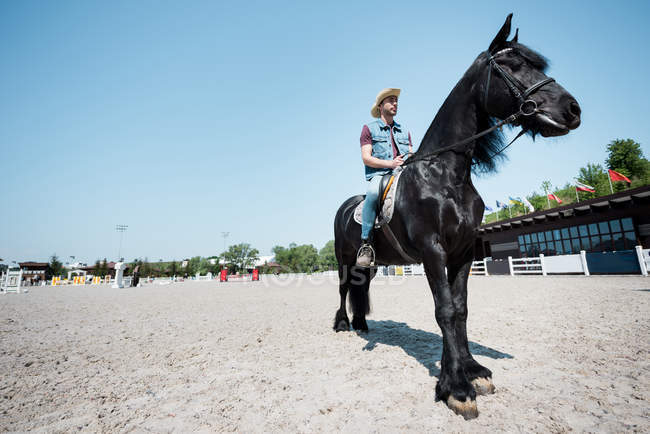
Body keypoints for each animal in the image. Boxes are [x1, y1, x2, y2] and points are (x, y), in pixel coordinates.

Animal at [332, 15, 580, 418]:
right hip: (343, 260)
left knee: (362, 288)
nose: (572, 109)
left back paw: (363, 323)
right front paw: (456, 388)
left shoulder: (463, 251)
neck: (445, 175)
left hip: (367, 263)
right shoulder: (433, 250)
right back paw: (342, 325)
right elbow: (444, 311)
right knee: (342, 289)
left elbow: (460, 309)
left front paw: (473, 371)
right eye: (512, 65)